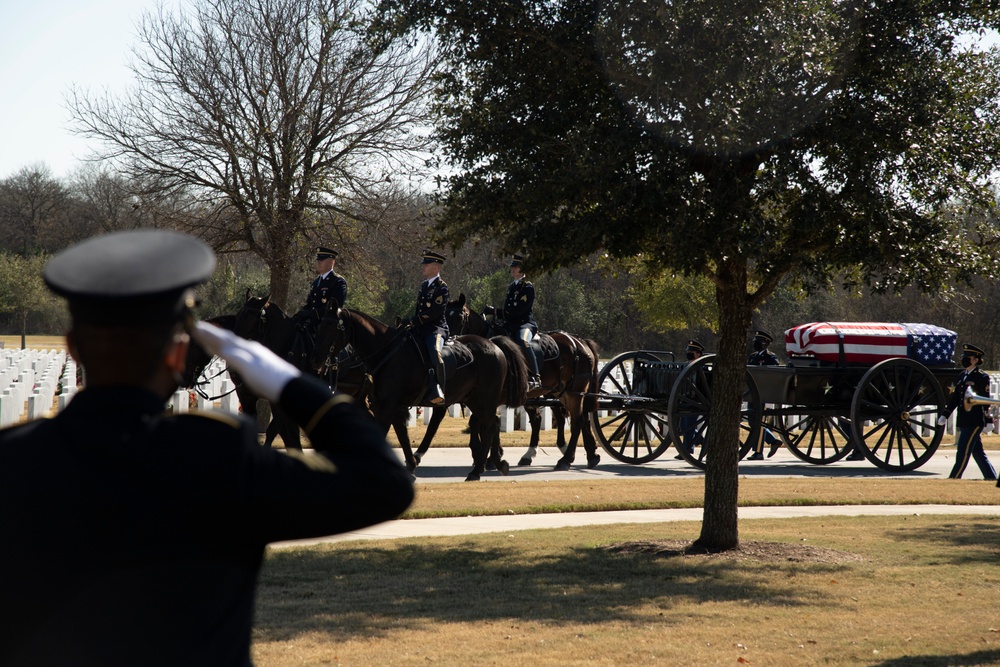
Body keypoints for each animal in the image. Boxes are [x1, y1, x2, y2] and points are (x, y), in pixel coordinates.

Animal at [308, 306, 532, 482]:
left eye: (331, 327)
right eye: (319, 326)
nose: (316, 359)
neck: (387, 353)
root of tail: (494, 344)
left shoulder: (387, 406)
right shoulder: (391, 406)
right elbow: (402, 435)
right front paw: (411, 465)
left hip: (484, 399)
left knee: (490, 425)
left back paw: (478, 470)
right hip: (474, 400)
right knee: (491, 424)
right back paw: (494, 463)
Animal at [448, 294, 600, 472]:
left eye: (459, 317)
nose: (449, 341)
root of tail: (580, 342)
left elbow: (482, 422)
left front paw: (487, 457)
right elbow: (484, 422)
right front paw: (489, 456)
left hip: (573, 393)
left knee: (577, 421)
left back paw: (566, 459)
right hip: (560, 393)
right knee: (568, 419)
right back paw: (588, 455)